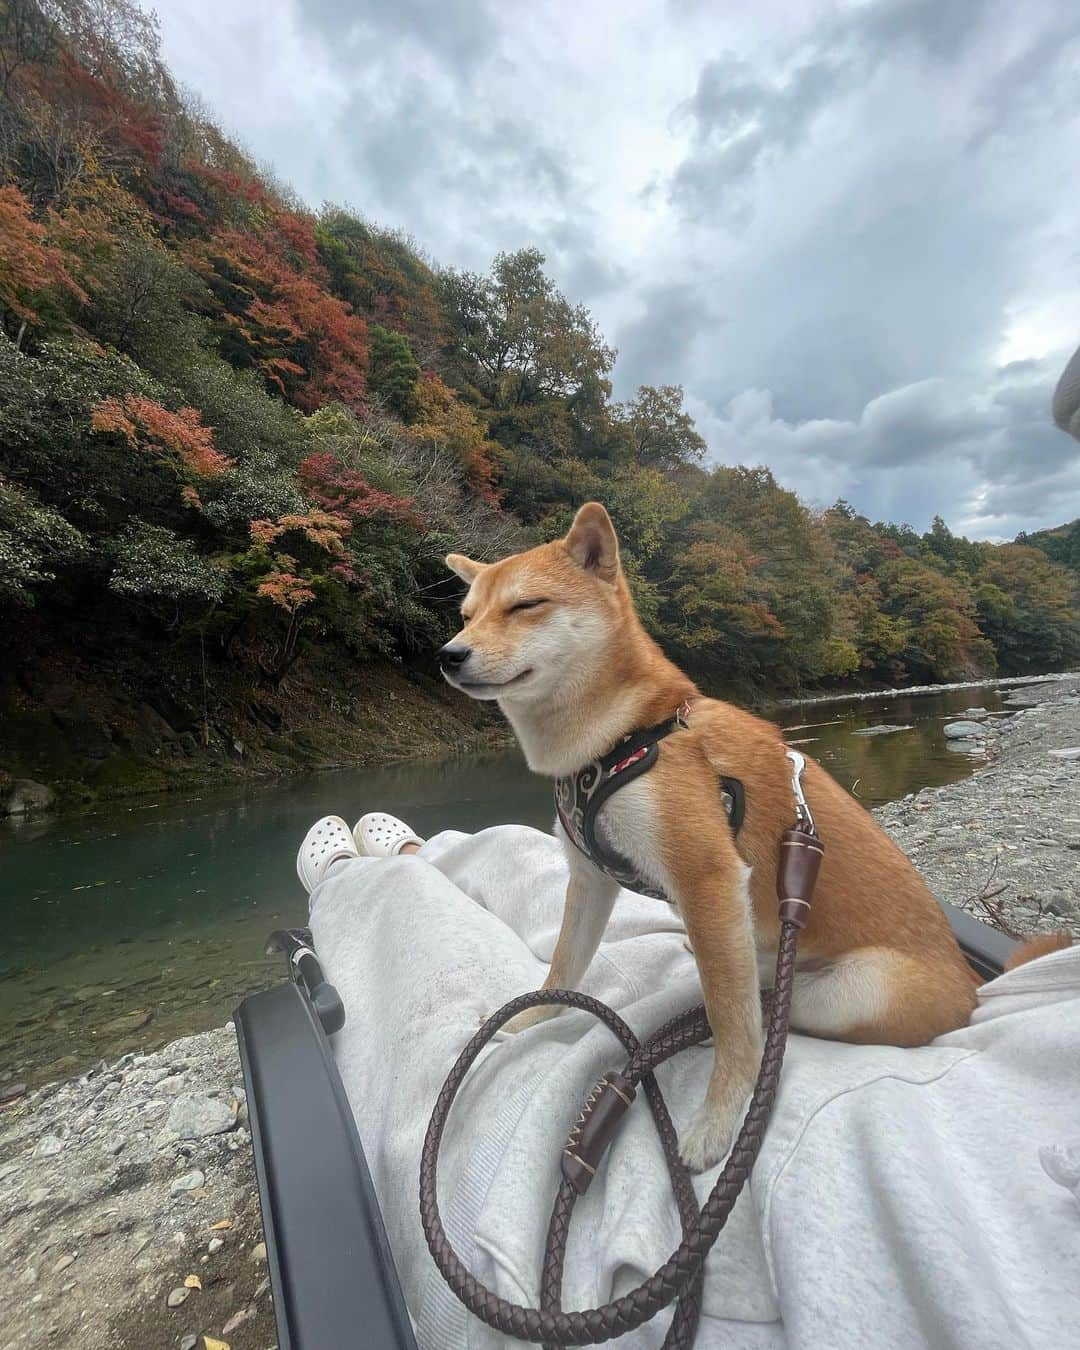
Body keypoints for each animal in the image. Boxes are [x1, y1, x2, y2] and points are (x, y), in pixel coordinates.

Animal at [437, 504, 1063, 1171]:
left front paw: (719, 1121)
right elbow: (562, 969)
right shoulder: (591, 879)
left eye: (526, 605)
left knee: (761, 1014)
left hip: (856, 991)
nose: (449, 654)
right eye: (467, 615)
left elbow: (732, 1027)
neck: (621, 739)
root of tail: (973, 984)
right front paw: (529, 1023)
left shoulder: (706, 876)